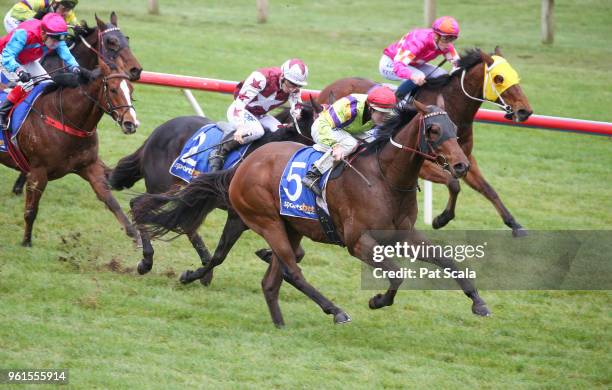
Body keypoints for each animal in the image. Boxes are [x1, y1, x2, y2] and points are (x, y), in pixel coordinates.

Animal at [0, 59, 139, 245]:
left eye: (131, 89)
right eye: (113, 89)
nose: (131, 123)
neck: (65, 119)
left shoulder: (89, 166)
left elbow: (111, 201)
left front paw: (137, 236)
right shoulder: (38, 173)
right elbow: (31, 211)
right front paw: (26, 242)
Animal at [112, 103, 318, 276]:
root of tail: (157, 133)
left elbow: (297, 252)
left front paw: (268, 255)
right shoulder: (240, 214)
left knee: (183, 222)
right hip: (167, 186)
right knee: (141, 205)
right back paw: (146, 261)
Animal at [318, 48, 532, 238]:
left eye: (515, 75)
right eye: (499, 78)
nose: (525, 111)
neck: (452, 106)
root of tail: (331, 86)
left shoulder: (464, 158)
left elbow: (487, 189)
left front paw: (515, 224)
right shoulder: (424, 164)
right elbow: (453, 183)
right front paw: (441, 219)